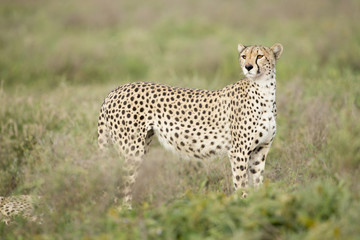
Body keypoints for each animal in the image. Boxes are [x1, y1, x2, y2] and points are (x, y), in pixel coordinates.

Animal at [98, 42, 284, 206]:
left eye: (259, 56)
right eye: (244, 56)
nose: (248, 67)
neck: (264, 90)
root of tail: (115, 90)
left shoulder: (260, 150)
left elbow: (257, 183)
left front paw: (257, 203)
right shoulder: (238, 152)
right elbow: (241, 185)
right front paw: (242, 206)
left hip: (142, 145)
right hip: (132, 151)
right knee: (121, 186)